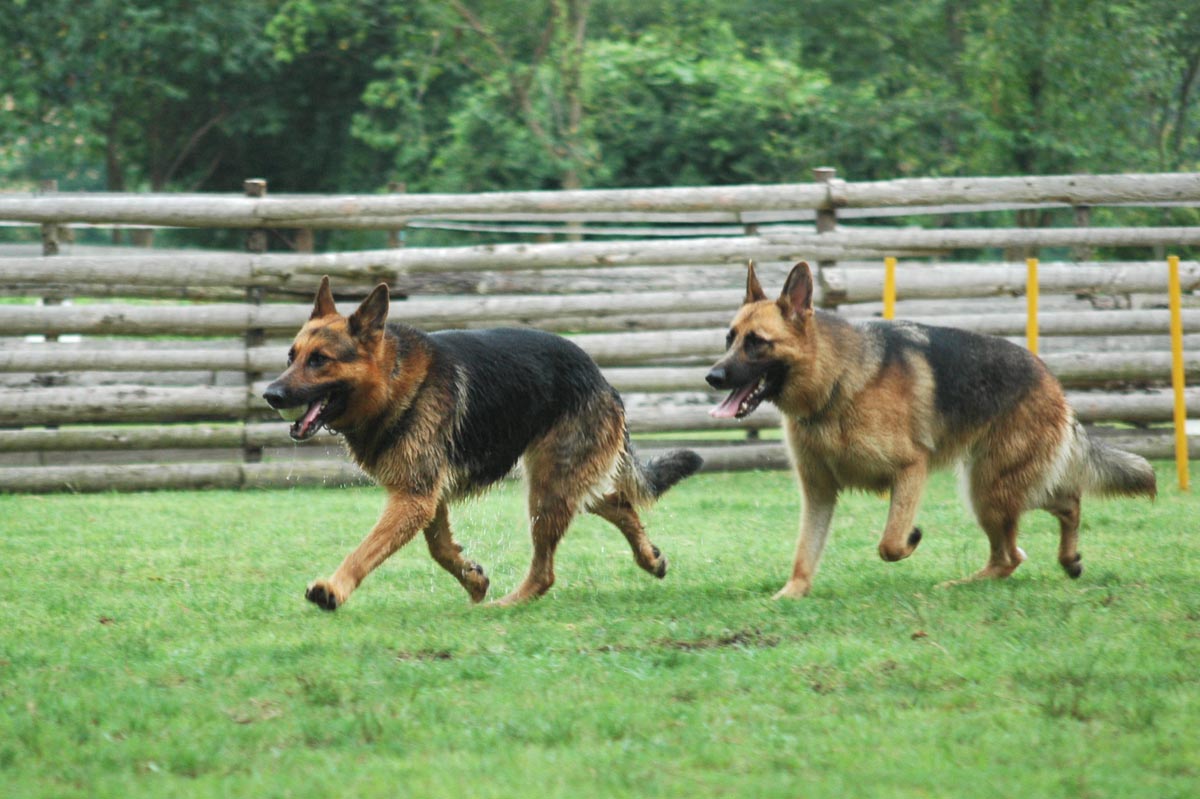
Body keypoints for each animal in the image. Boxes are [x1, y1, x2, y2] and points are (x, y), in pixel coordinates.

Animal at [258, 277, 700, 607]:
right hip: (560, 481)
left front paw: (333, 589)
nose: (270, 395)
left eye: (320, 360)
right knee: (617, 502)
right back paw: (650, 559)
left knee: (546, 571)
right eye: (291, 356)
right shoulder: (424, 494)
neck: (394, 379)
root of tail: (601, 378)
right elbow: (438, 547)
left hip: (548, 489)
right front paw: (472, 579)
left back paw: (508, 605)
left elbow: (368, 548)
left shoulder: (414, 497)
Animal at [705, 257, 1156, 595]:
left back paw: (964, 583)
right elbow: (804, 555)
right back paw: (1063, 560)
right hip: (995, 487)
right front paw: (791, 593)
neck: (835, 384)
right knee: (1056, 511)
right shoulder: (819, 493)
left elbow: (889, 543)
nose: (711, 377)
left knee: (1021, 546)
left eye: (757, 342)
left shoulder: (910, 469)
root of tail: (1052, 381)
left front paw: (911, 540)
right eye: (729, 338)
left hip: (989, 488)